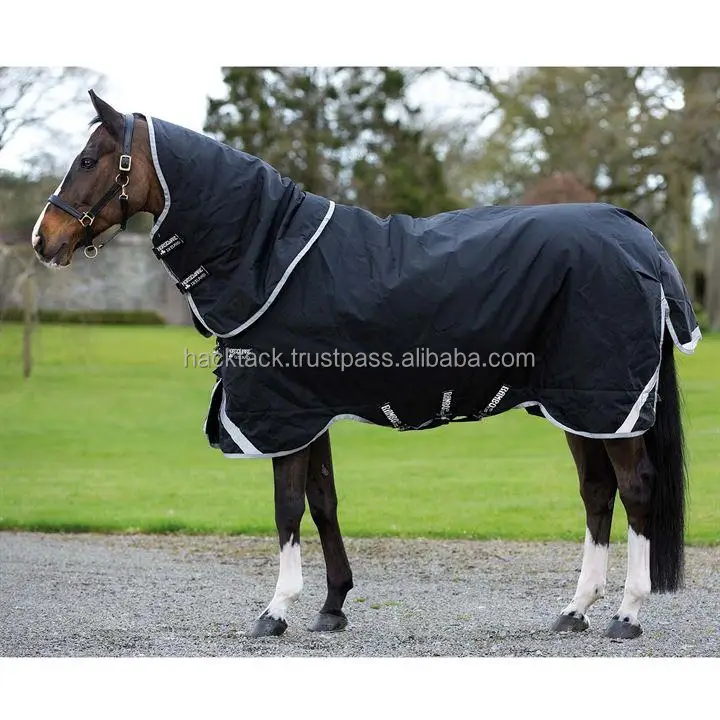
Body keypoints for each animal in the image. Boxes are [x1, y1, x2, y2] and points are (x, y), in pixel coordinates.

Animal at [31, 90, 701, 641]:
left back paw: (626, 615)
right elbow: (323, 501)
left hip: (605, 400)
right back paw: (575, 610)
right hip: (579, 406)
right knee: (597, 493)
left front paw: (276, 610)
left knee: (635, 489)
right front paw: (332, 607)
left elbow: (287, 506)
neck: (267, 254)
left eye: (89, 160)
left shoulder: (283, 412)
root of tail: (637, 235)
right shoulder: (310, 412)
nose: (44, 239)